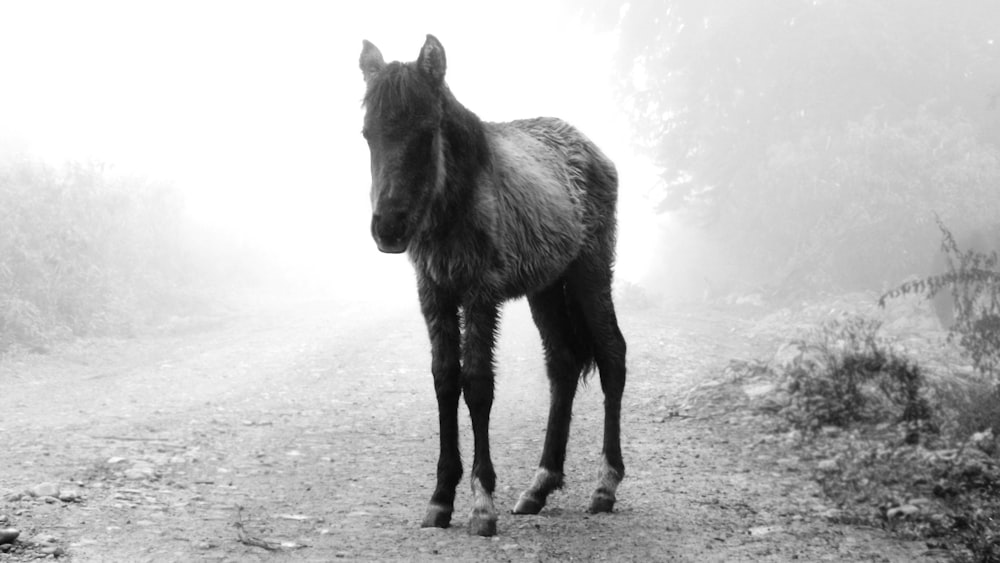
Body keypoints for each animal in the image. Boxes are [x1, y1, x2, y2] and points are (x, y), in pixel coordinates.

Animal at [358, 35, 624, 536]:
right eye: (368, 134)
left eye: (426, 130)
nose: (388, 228)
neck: (456, 198)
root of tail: (590, 148)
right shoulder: (436, 295)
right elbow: (445, 381)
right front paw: (441, 498)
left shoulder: (480, 295)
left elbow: (477, 384)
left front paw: (482, 504)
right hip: (546, 289)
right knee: (562, 366)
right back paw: (539, 486)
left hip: (591, 273)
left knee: (613, 356)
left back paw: (605, 486)